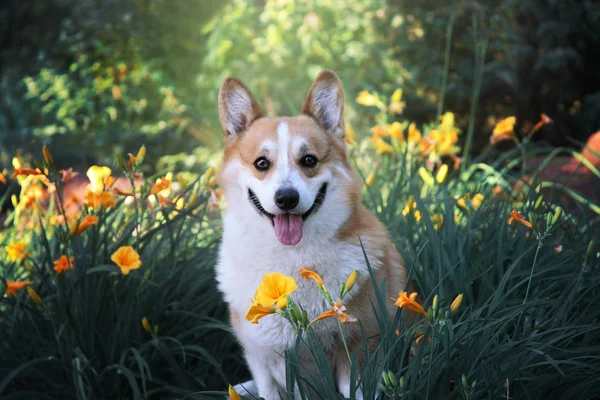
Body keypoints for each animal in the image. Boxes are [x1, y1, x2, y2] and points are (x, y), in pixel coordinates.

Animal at [216, 70, 408, 398]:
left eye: (309, 160)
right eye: (261, 163)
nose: (286, 199)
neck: (291, 256)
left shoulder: (357, 353)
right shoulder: (262, 362)